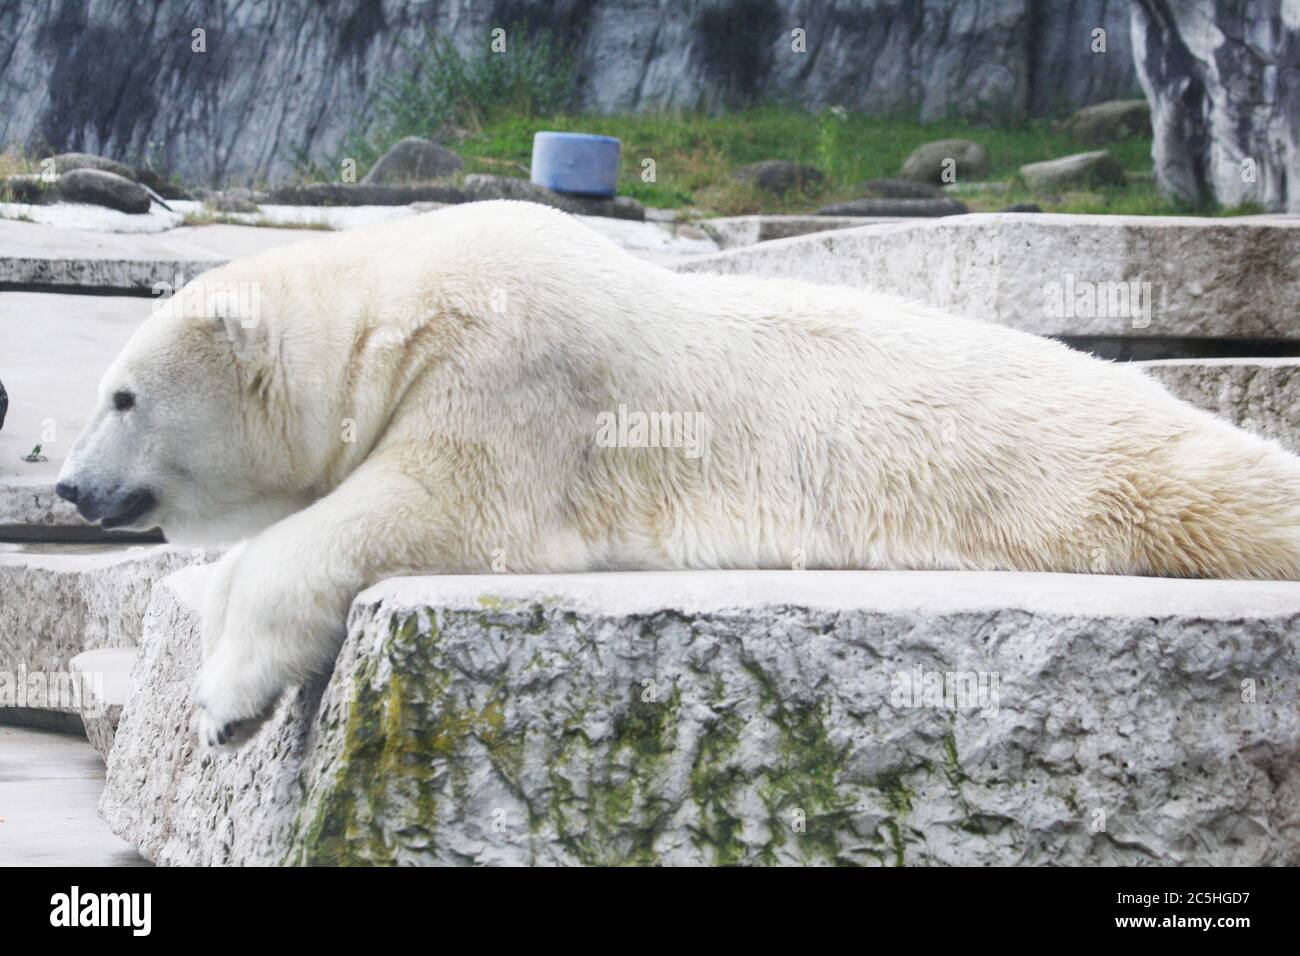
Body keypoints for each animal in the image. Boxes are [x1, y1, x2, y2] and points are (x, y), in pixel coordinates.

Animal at [58, 201, 1300, 749]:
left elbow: (429, 503)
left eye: (122, 396)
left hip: (1088, 470)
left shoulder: (510, 364)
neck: (398, 299)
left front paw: (224, 693)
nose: (71, 487)